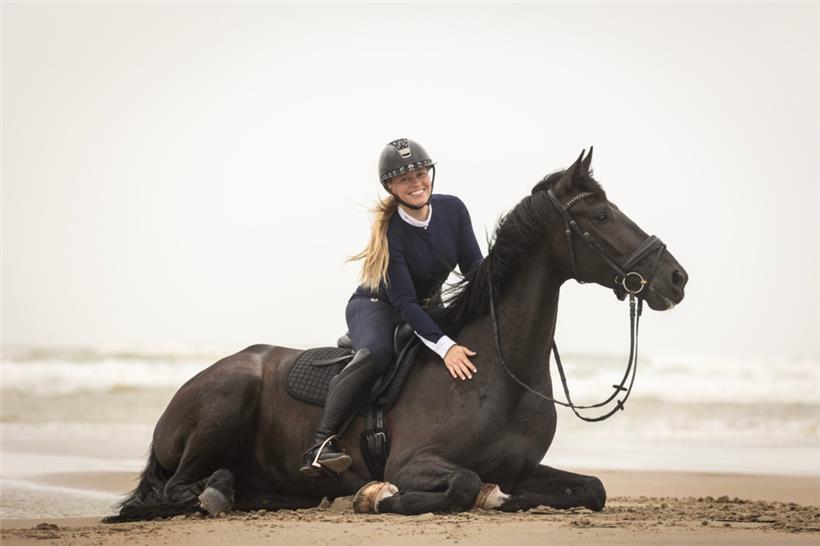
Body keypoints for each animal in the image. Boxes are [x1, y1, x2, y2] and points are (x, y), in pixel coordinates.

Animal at [104, 149, 688, 522]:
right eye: (601, 214)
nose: (677, 278)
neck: (501, 371)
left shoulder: (522, 467)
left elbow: (591, 488)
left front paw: (497, 497)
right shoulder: (416, 462)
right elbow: (463, 484)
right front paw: (375, 496)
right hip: (228, 398)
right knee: (183, 486)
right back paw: (223, 493)